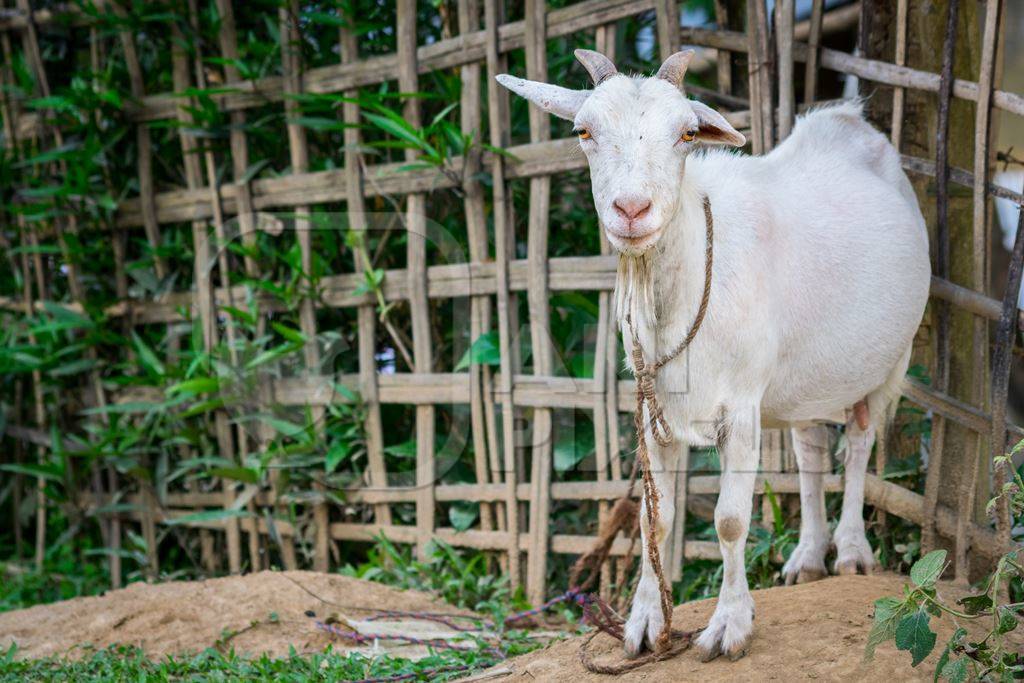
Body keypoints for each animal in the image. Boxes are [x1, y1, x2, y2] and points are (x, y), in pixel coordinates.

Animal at [499, 52, 933, 663]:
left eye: (685, 133)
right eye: (584, 131)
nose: (631, 209)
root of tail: (852, 125)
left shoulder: (742, 407)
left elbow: (729, 522)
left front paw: (729, 627)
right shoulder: (653, 410)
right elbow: (655, 521)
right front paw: (643, 624)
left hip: (890, 359)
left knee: (859, 443)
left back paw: (850, 552)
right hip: (808, 376)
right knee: (810, 449)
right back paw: (807, 558)